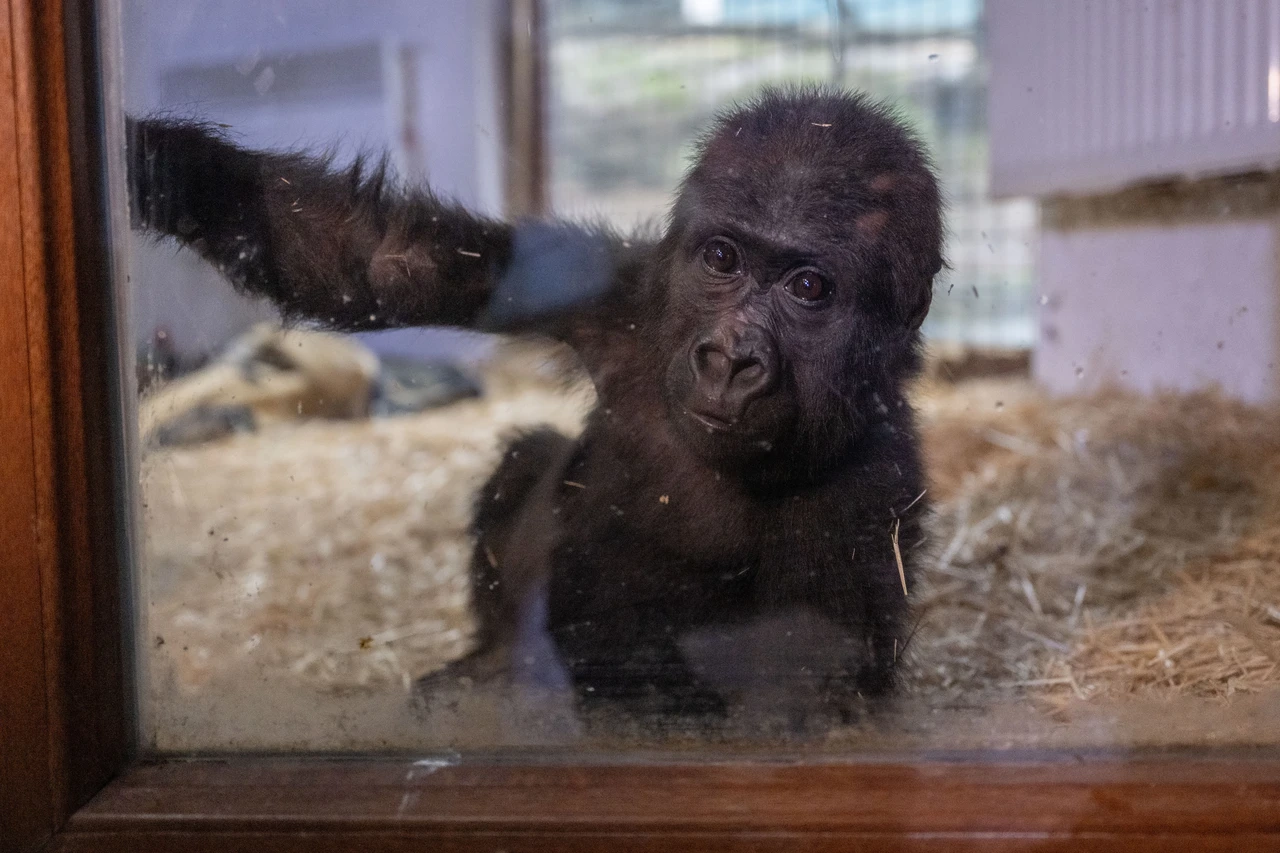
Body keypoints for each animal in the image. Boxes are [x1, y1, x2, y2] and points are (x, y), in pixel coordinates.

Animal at [129, 86, 947, 722]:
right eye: (723, 258)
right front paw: (161, 164)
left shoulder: (875, 483)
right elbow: (385, 258)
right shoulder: (616, 292)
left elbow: (800, 684)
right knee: (529, 454)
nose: (730, 358)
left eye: (808, 288)